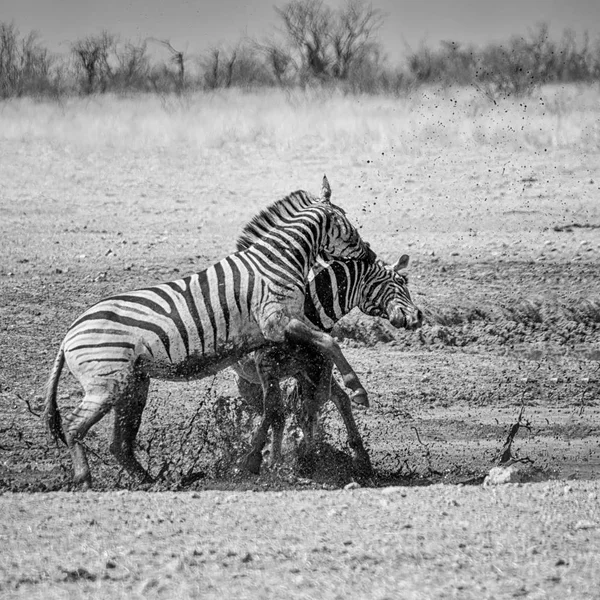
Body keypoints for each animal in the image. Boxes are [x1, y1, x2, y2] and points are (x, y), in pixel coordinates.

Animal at [44, 178, 376, 488]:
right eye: (349, 224)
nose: (371, 254)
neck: (278, 260)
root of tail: (69, 333)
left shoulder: (287, 323)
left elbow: (316, 355)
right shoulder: (275, 319)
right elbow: (329, 341)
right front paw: (356, 388)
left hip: (133, 383)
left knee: (119, 444)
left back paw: (154, 483)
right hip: (107, 383)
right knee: (75, 427)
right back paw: (85, 480)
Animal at [234, 254, 422, 478]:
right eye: (401, 281)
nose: (419, 316)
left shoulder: (312, 368)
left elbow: (315, 404)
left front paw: (308, 457)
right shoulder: (267, 365)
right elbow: (277, 410)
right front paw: (258, 457)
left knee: (324, 403)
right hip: (251, 379)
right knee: (276, 413)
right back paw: (274, 458)